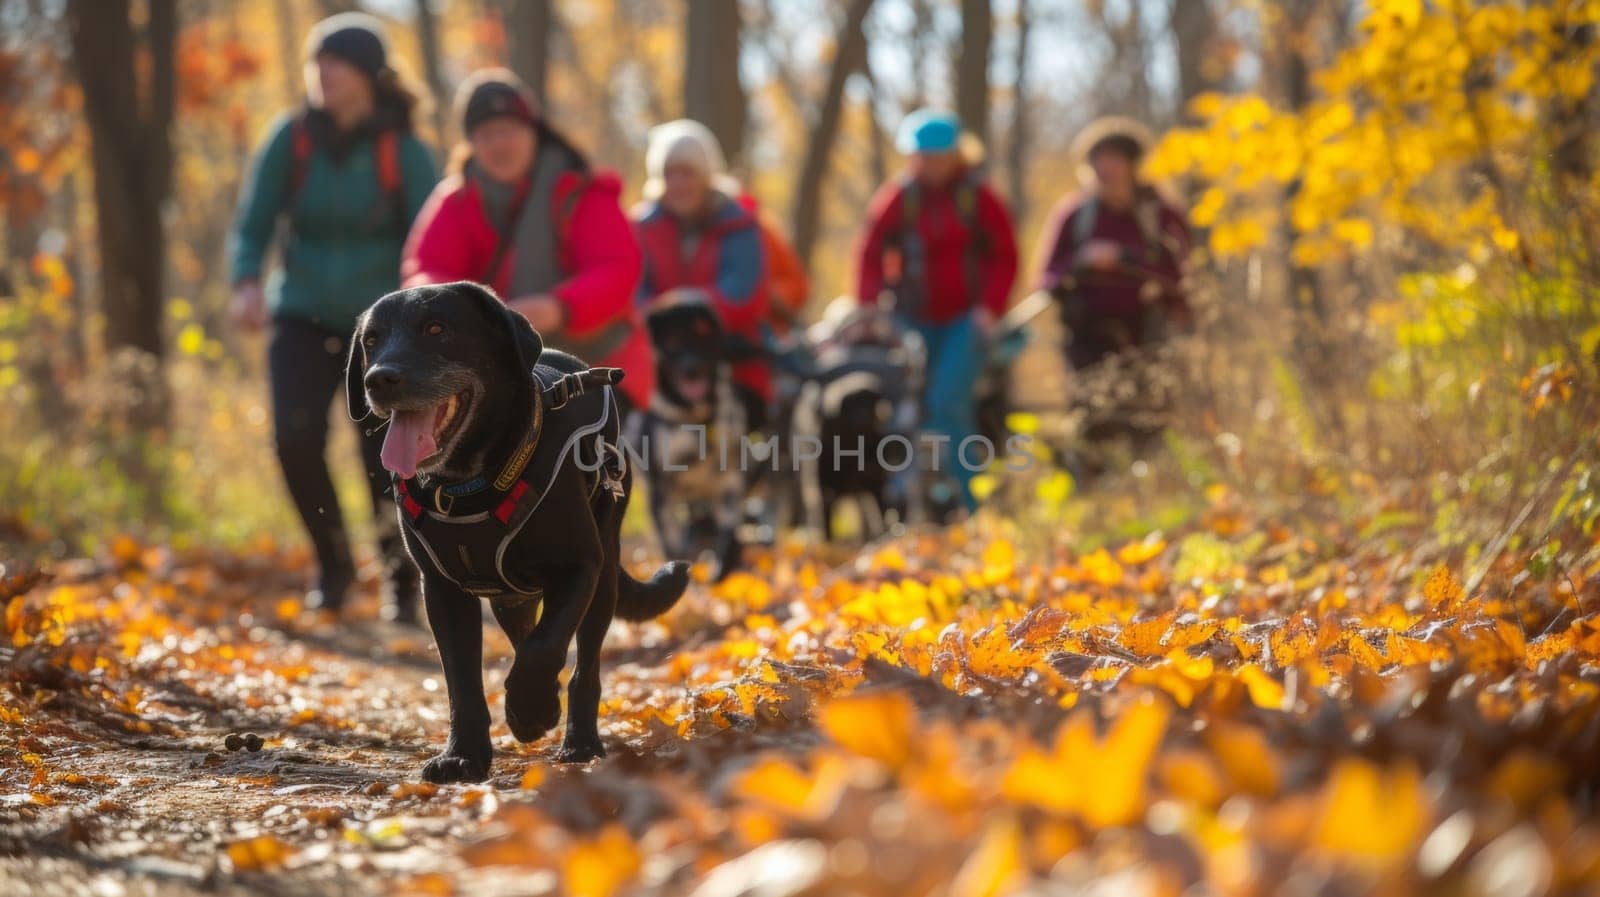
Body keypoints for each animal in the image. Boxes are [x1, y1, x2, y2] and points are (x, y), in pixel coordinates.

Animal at [350, 283, 688, 780]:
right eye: (371, 340)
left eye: (436, 328)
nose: (378, 379)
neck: (471, 485)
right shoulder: (442, 591)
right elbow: (463, 681)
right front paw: (464, 756)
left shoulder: (579, 568)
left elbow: (544, 647)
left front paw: (531, 711)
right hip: (511, 595)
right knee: (524, 635)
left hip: (603, 574)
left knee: (583, 664)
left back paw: (580, 741)